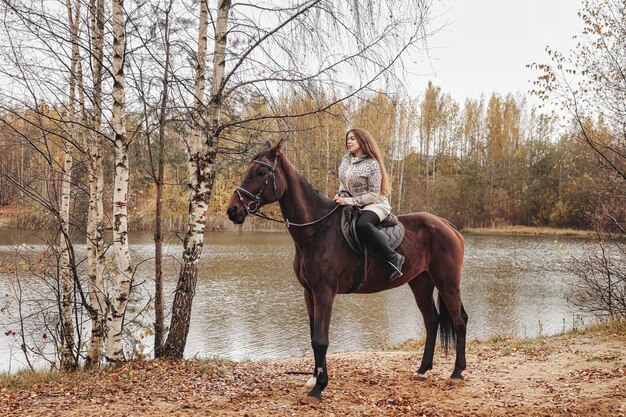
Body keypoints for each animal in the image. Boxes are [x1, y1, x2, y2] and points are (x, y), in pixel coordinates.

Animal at [227, 141, 466, 404]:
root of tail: (447, 224)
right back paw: (423, 369)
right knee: (432, 321)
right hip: (420, 283)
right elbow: (313, 336)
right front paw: (314, 378)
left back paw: (457, 372)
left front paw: (319, 387)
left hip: (447, 283)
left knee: (459, 321)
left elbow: (321, 340)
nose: (233, 210)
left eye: (261, 172)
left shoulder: (325, 292)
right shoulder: (309, 292)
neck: (316, 230)